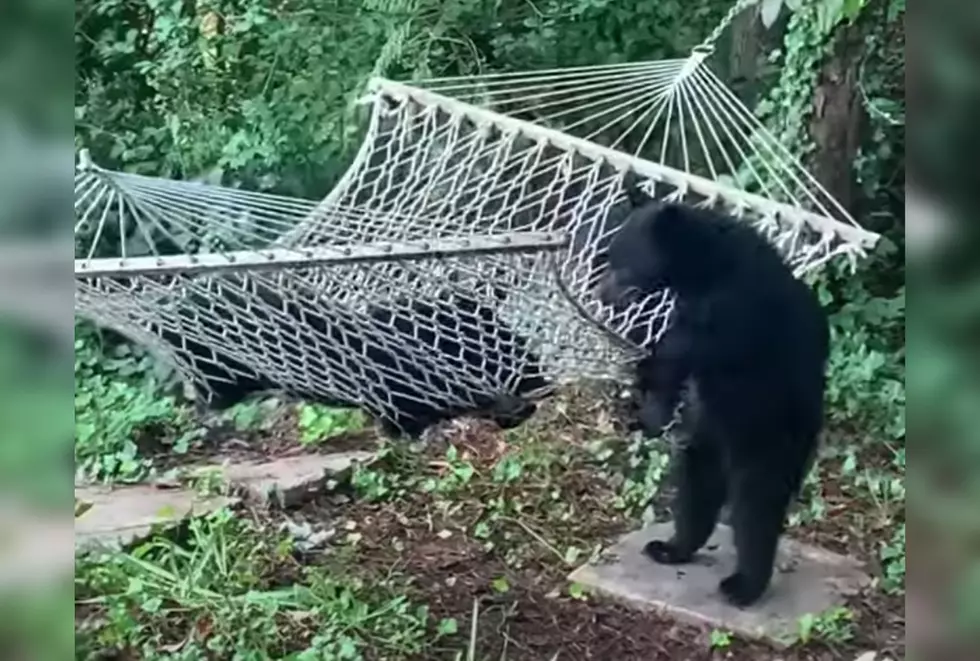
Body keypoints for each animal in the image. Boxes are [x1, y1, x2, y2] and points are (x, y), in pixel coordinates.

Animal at [596, 199, 828, 604]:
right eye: (609, 255)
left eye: (620, 262)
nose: (600, 293)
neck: (704, 269)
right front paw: (649, 409)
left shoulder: (741, 303)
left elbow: (691, 346)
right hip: (709, 435)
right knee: (697, 486)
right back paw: (671, 547)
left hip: (769, 434)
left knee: (756, 506)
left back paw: (744, 585)